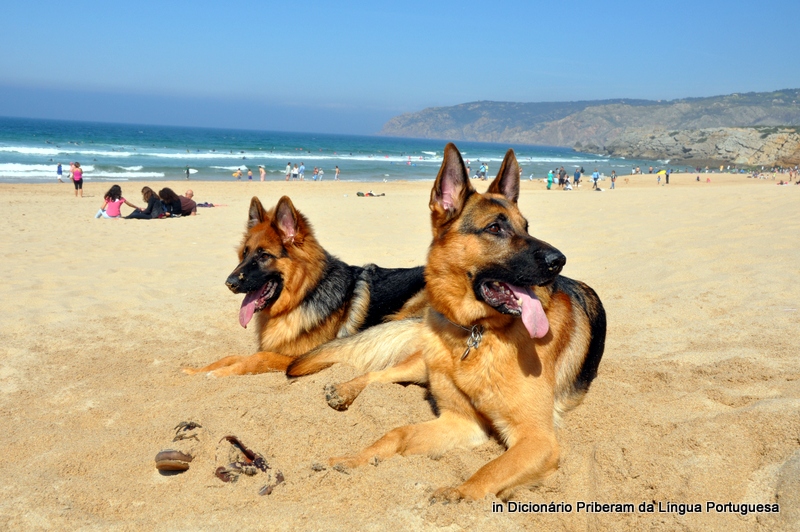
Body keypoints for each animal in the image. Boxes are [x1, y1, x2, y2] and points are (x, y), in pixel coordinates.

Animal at [185, 196, 428, 378]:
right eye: (245, 253)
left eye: (264, 256)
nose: (230, 283)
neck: (302, 297)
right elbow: (231, 356)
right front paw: (197, 370)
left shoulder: (299, 356)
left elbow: (258, 358)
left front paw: (220, 373)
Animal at [288, 143, 608, 500]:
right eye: (495, 228)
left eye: (526, 227)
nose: (559, 261)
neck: (477, 334)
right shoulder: (461, 420)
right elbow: (396, 433)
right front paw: (355, 457)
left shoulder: (536, 439)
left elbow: (490, 470)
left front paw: (458, 494)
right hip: (421, 364)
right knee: (380, 374)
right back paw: (345, 391)